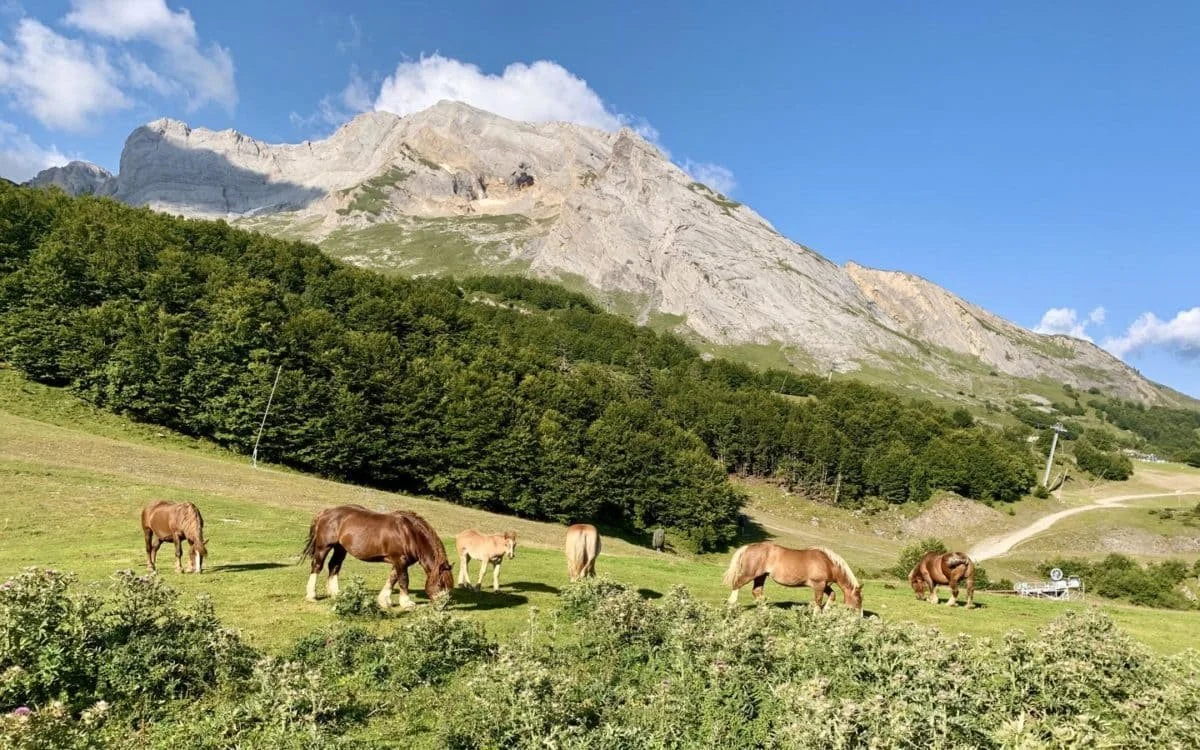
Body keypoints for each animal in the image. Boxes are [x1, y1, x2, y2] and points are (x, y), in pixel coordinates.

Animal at [300, 505, 454, 609]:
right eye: (440, 584)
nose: (442, 606)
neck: (410, 534)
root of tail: (326, 512)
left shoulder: (399, 562)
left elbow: (392, 579)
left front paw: (384, 601)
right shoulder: (400, 560)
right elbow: (404, 580)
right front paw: (406, 603)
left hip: (340, 548)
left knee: (334, 566)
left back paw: (337, 594)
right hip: (324, 547)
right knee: (317, 566)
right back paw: (311, 596)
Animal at [723, 542, 863, 611]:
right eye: (858, 600)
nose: (859, 618)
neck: (827, 562)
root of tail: (748, 547)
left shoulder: (824, 585)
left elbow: (832, 595)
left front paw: (826, 611)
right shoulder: (819, 585)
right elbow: (818, 601)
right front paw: (817, 615)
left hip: (761, 576)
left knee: (757, 591)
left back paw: (765, 610)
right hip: (749, 574)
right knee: (736, 585)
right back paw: (731, 605)